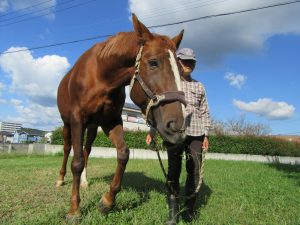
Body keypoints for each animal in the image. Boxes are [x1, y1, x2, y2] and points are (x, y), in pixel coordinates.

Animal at [54, 13, 185, 220]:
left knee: (87, 149)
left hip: (92, 126)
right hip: (67, 123)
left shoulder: (111, 121)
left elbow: (123, 153)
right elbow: (77, 161)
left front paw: (107, 201)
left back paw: (84, 181)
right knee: (68, 149)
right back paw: (60, 179)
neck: (100, 75)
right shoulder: (77, 119)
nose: (176, 125)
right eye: (153, 63)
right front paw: (74, 209)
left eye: (180, 70)